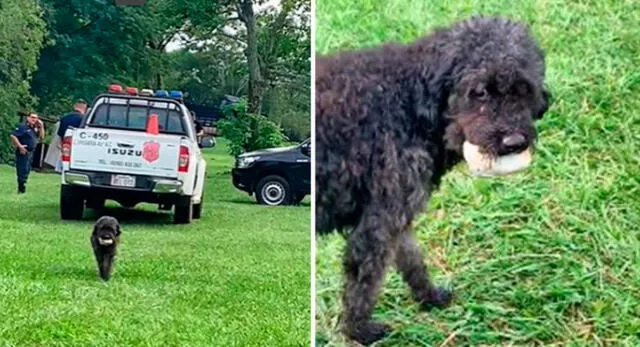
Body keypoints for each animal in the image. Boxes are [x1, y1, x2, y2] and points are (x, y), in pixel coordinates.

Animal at [316, 17, 552, 346]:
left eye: (524, 89)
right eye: (479, 91)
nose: (514, 142)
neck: (410, 102)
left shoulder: (397, 219)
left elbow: (414, 262)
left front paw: (430, 298)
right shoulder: (377, 227)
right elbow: (363, 284)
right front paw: (359, 331)